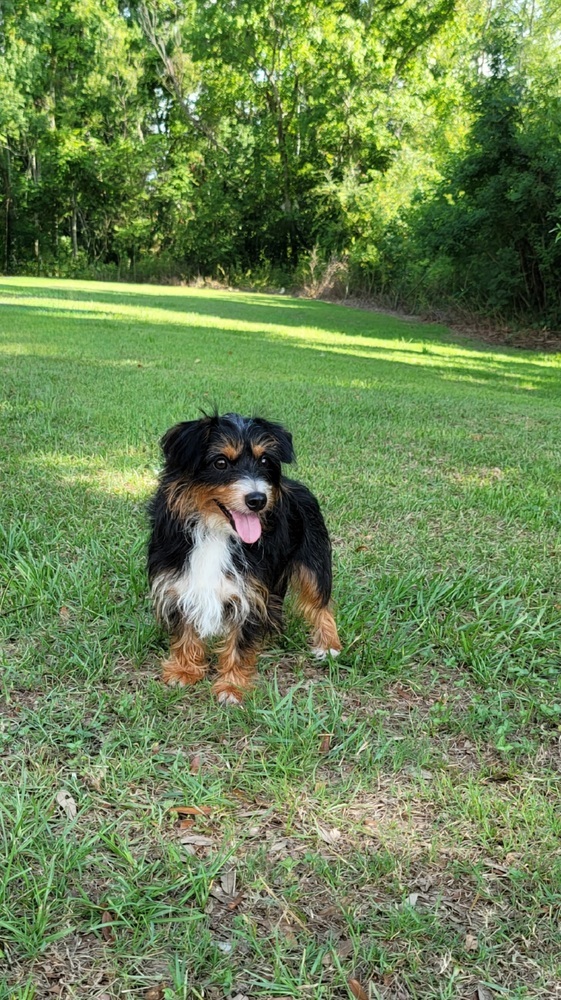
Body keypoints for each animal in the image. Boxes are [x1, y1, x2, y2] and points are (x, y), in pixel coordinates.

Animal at [148, 410, 342, 708]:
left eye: (264, 460)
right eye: (220, 462)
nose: (258, 499)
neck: (215, 531)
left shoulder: (250, 593)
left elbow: (239, 643)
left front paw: (232, 685)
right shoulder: (179, 583)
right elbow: (185, 629)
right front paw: (185, 669)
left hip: (314, 560)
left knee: (320, 603)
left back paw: (329, 645)